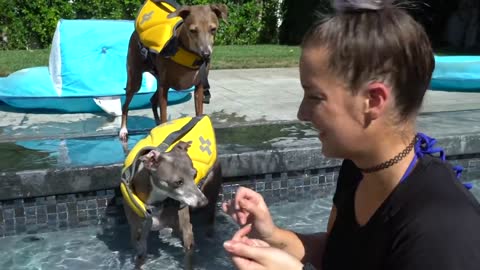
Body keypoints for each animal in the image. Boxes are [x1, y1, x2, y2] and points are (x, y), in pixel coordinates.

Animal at [117, 1, 227, 141]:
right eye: (192, 30)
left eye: (213, 29)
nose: (206, 54)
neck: (187, 52)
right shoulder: (164, 87)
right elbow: (164, 115)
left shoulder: (199, 86)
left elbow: (198, 112)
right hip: (135, 78)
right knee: (125, 105)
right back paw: (123, 130)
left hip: (158, 79)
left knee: (152, 100)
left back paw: (156, 125)